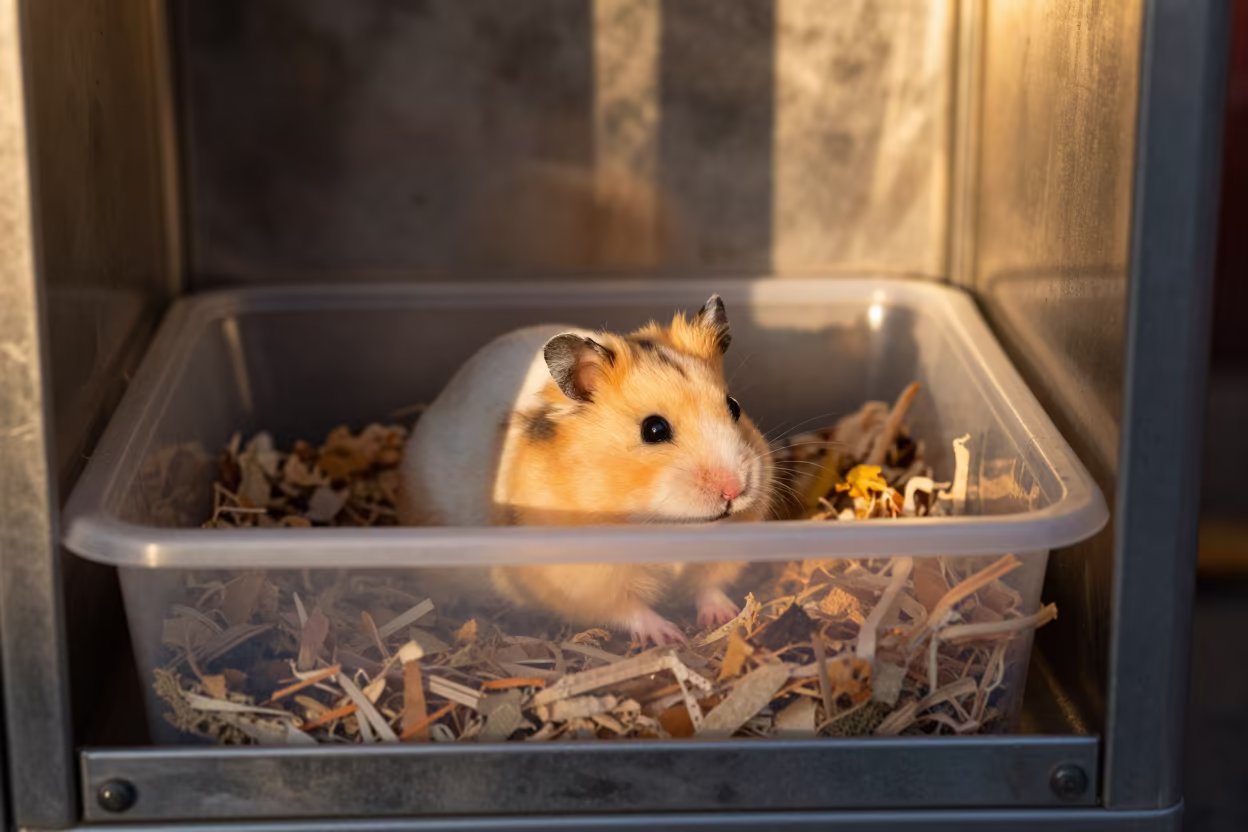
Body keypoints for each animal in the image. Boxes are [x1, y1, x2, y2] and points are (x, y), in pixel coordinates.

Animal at [398, 296, 776, 645]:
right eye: (653, 429)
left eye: (734, 407)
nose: (735, 490)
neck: (658, 524)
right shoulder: (587, 580)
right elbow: (630, 610)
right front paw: (669, 637)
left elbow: (708, 587)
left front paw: (725, 616)